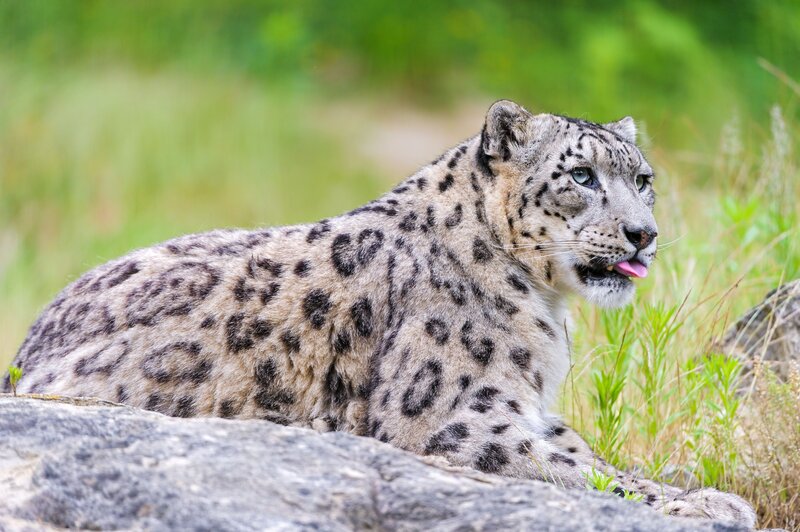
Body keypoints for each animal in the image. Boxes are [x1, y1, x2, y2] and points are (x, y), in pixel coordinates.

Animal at [4, 100, 755, 527]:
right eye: (581, 176)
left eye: (643, 180)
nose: (643, 234)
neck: (546, 312)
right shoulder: (461, 420)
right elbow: (592, 476)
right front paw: (709, 504)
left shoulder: (532, 412)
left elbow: (595, 457)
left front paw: (699, 489)